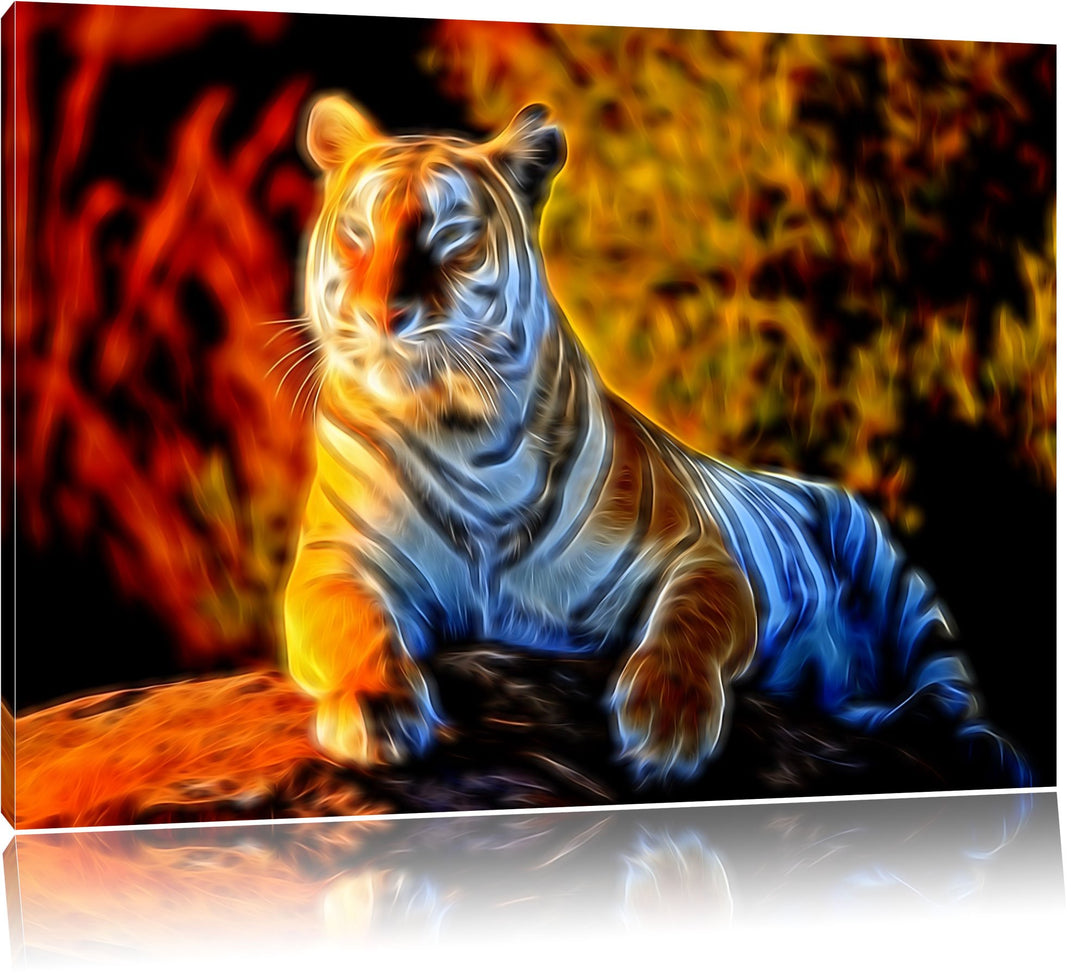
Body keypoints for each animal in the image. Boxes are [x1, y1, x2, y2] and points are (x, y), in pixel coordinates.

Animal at [283, 94, 1027, 785]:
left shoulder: (700, 555)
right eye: (356, 236)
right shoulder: (335, 559)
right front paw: (375, 707)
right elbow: (350, 627)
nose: (384, 315)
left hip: (898, 581)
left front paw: (666, 723)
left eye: (452, 239)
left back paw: (969, 745)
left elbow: (688, 626)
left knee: (953, 697)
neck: (463, 431)